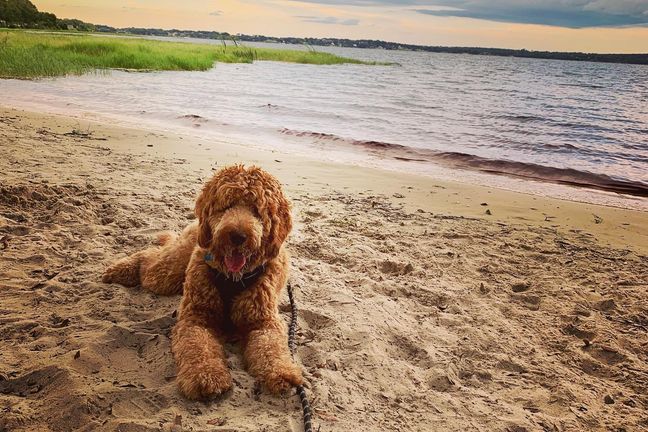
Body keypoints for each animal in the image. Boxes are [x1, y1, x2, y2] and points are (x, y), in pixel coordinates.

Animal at [102, 165, 303, 400]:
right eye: (227, 205)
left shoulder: (264, 322)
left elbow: (271, 347)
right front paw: (206, 376)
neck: (234, 276)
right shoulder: (196, 317)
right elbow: (199, 346)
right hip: (167, 273)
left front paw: (282, 373)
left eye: (256, 210)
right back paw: (121, 270)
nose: (237, 236)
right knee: (148, 259)